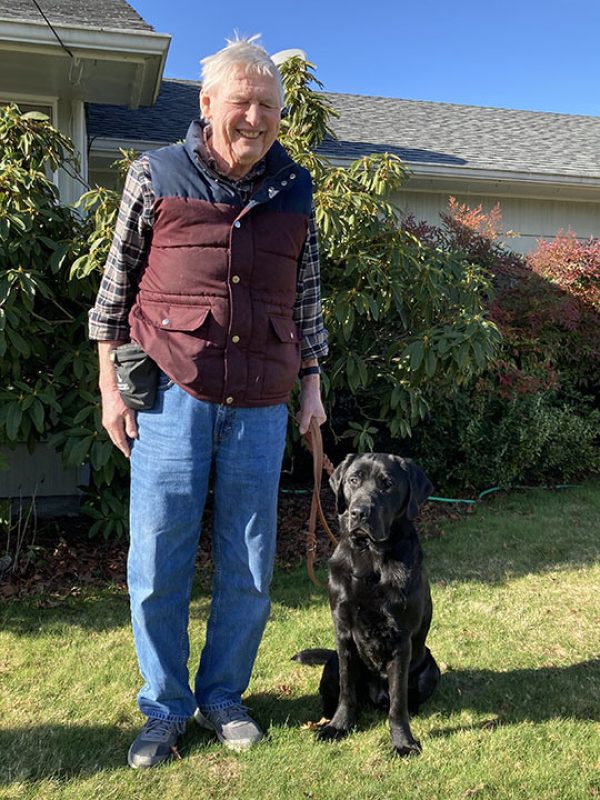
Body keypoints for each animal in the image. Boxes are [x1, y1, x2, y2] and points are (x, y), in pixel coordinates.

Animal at [296, 454, 440, 752]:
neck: (371, 558)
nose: (359, 512)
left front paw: (403, 742)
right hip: (332, 663)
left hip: (431, 669)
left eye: (388, 484)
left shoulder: (401, 639)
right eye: (353, 480)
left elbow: (398, 702)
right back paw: (326, 717)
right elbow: (347, 691)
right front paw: (338, 726)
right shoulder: (343, 633)